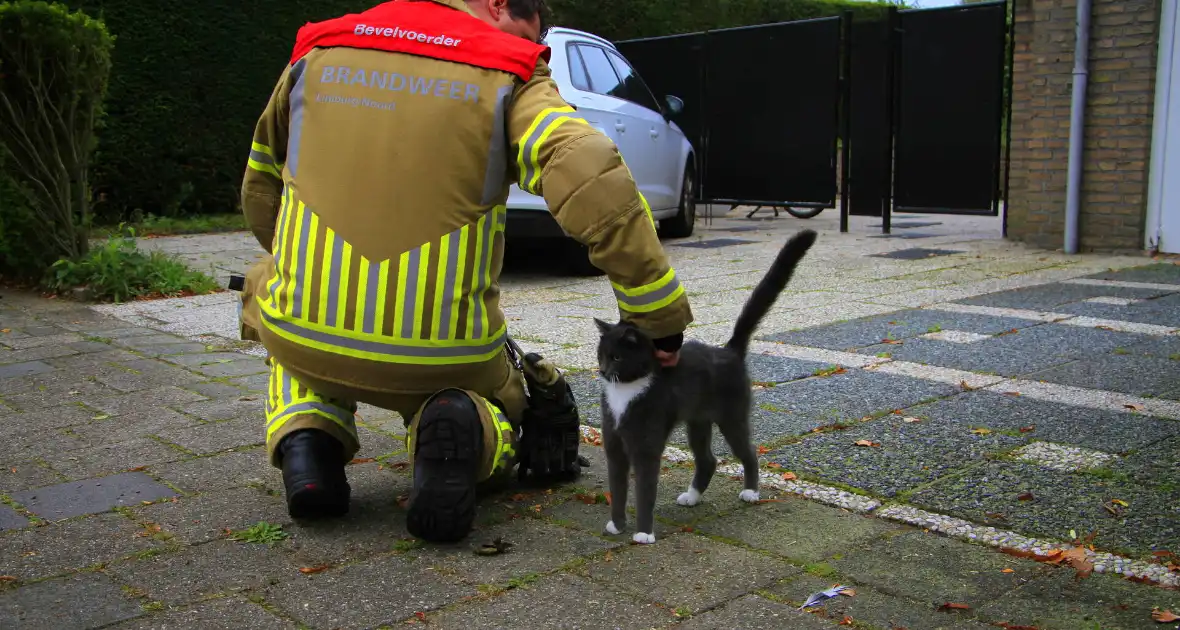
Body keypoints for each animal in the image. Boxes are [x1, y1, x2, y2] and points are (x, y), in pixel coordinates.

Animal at [594, 230, 816, 545]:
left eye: (616, 357)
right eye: (600, 354)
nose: (602, 370)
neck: (626, 391)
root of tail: (729, 351)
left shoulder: (646, 446)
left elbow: (645, 490)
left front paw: (644, 533)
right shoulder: (614, 444)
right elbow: (618, 486)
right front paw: (616, 524)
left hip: (732, 415)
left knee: (748, 451)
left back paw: (751, 492)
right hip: (697, 421)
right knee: (708, 459)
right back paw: (692, 496)